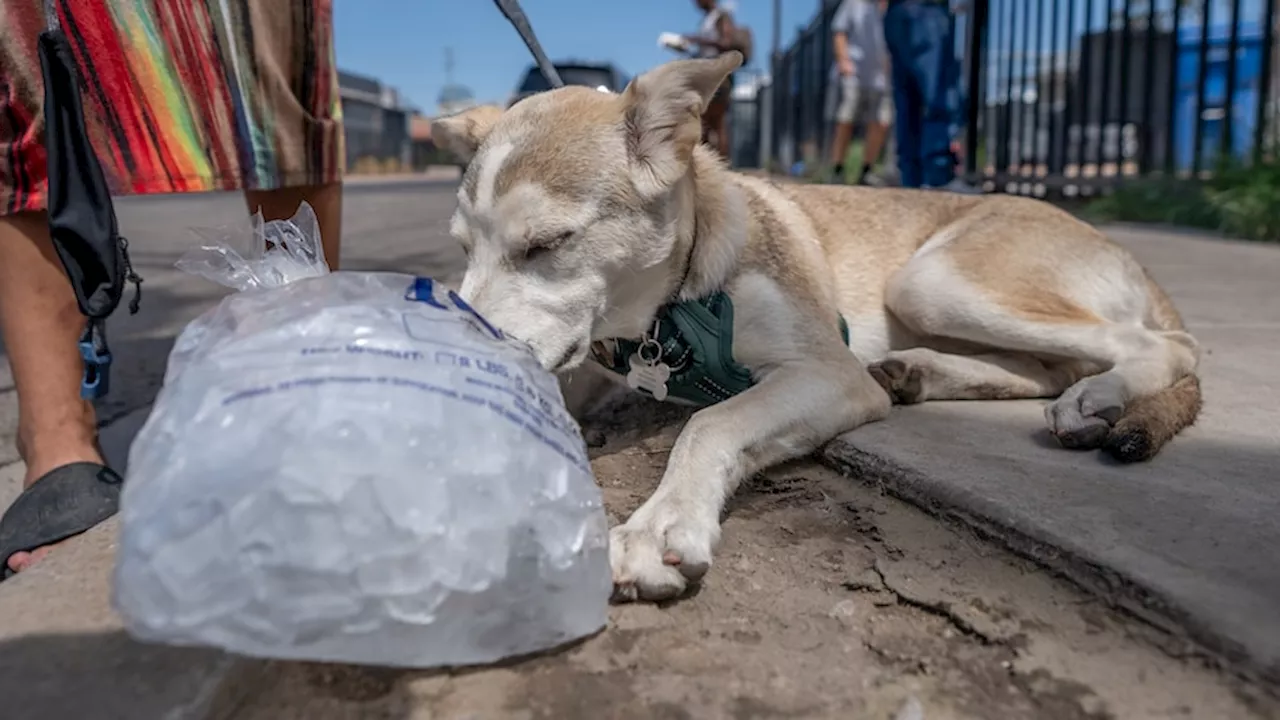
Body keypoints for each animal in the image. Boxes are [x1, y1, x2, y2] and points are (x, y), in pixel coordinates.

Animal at [435, 50, 1203, 599]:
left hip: (931, 282)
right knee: (1046, 367)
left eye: (548, 244)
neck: (674, 303)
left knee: (1163, 346)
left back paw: (1098, 396)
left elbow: (707, 422)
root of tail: (1123, 251)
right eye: (463, 249)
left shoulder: (828, 372)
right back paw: (920, 371)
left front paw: (660, 526)